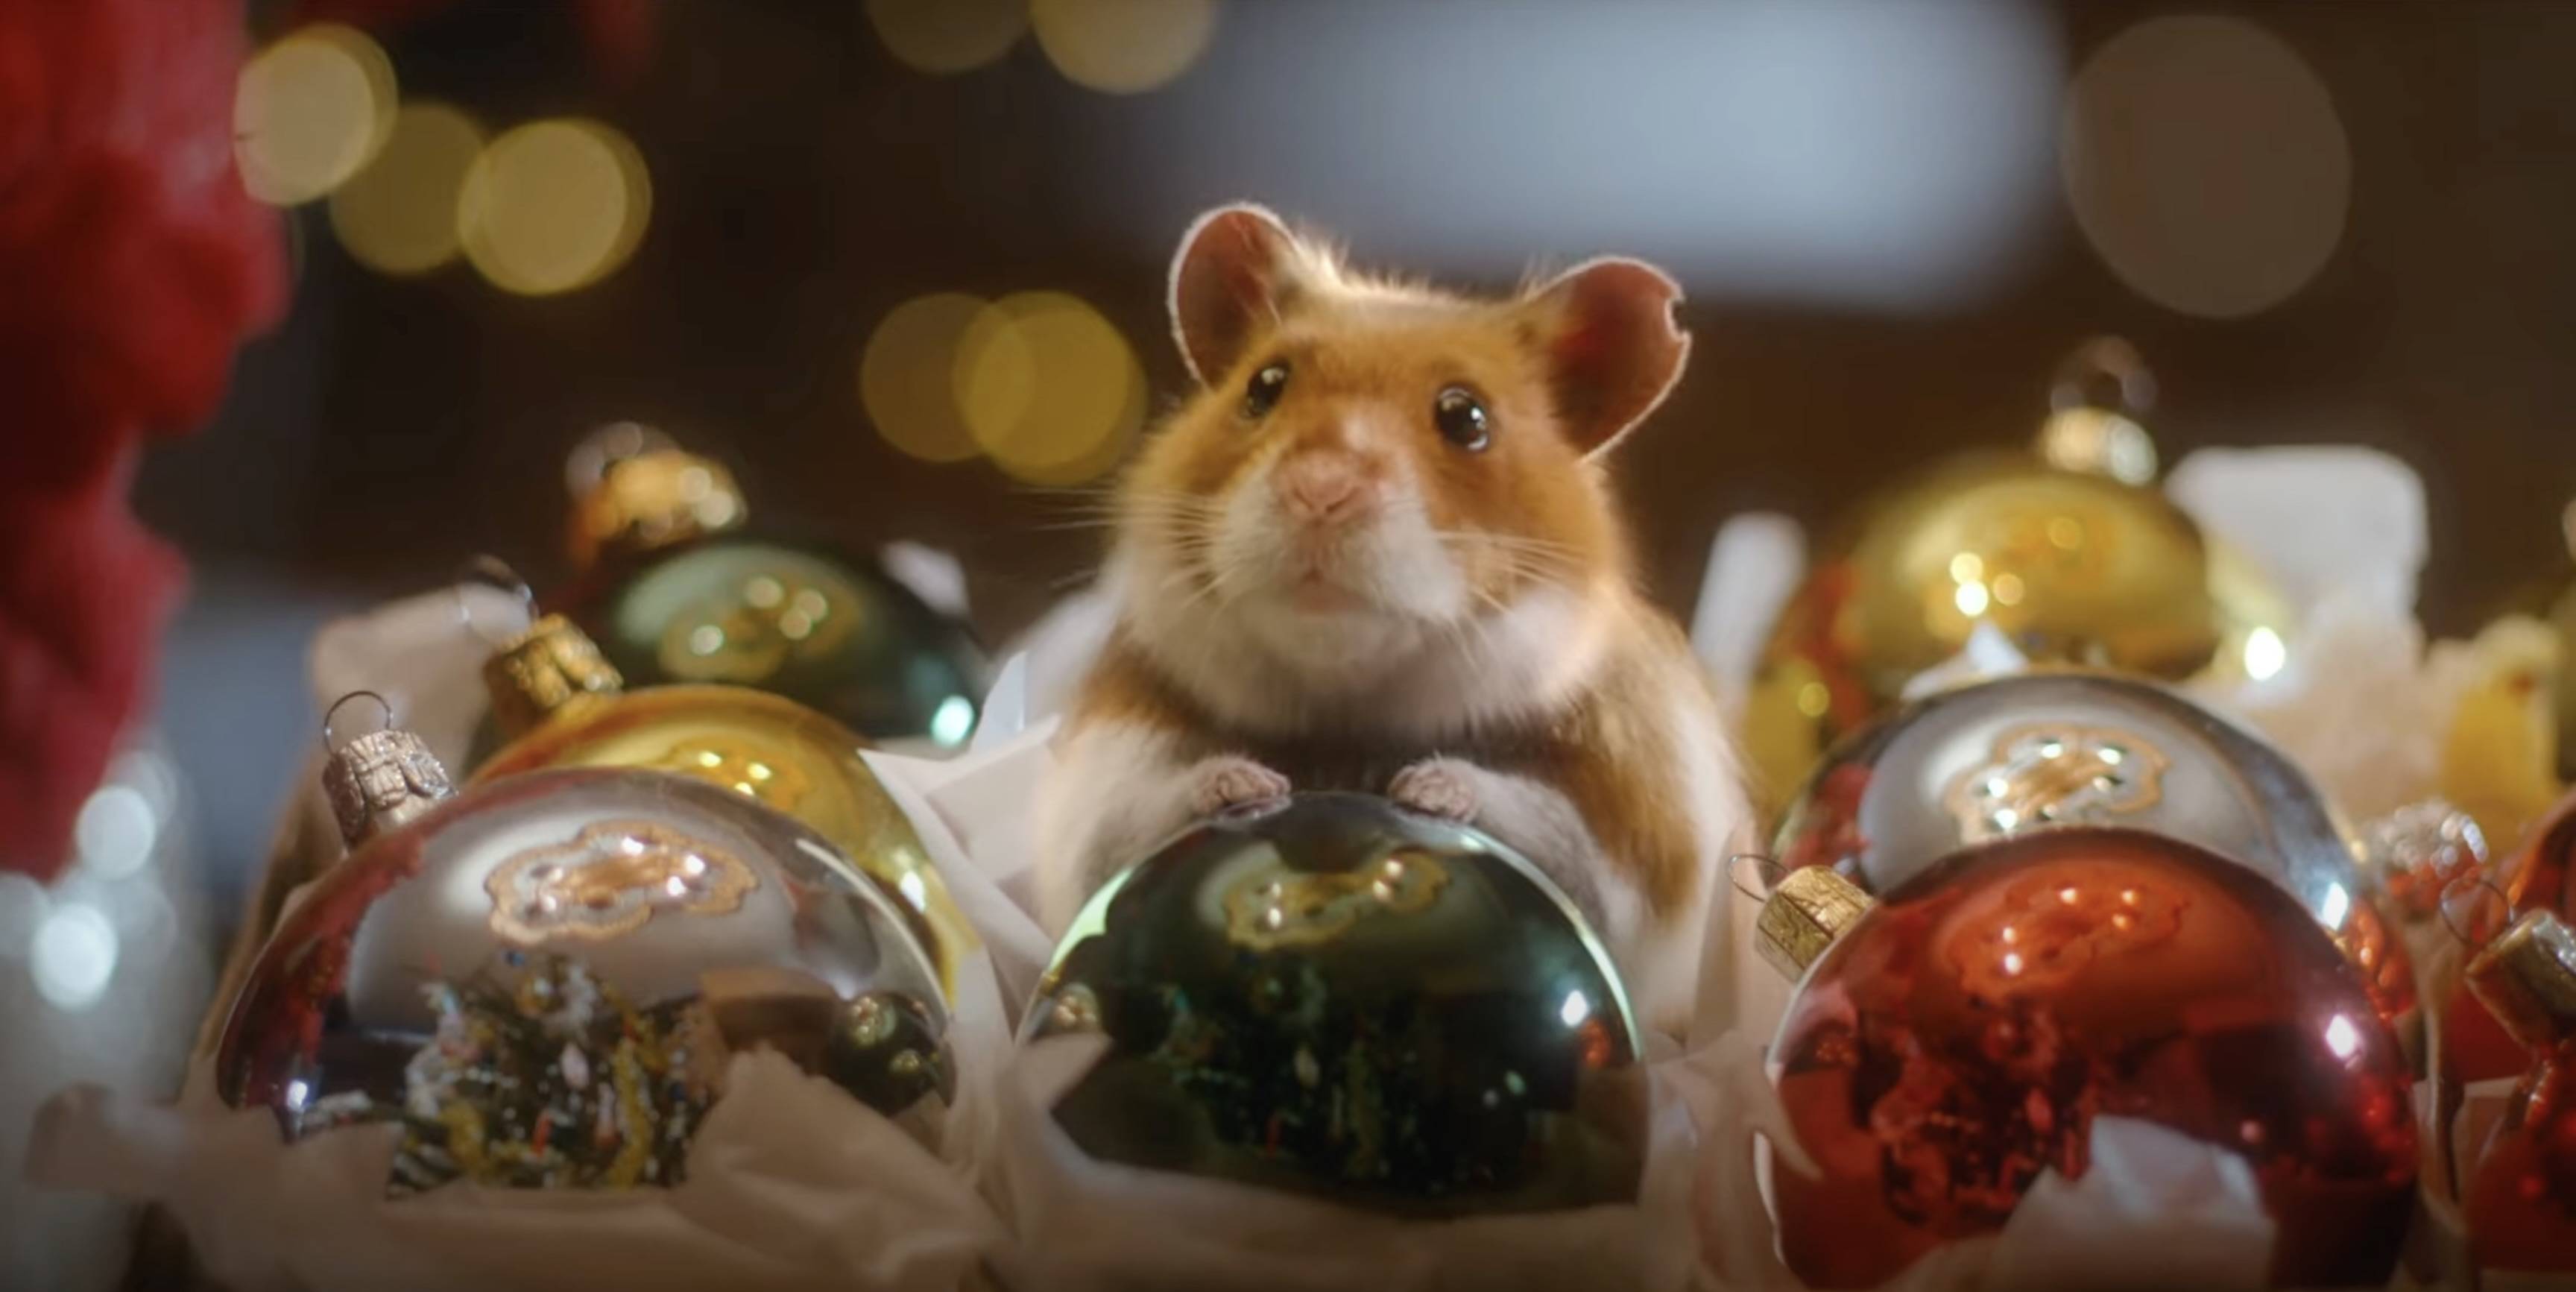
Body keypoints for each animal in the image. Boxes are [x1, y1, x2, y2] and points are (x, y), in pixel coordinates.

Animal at [1034, 204, 1754, 1033]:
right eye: (1264, 385)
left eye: (1466, 417)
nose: (1320, 490)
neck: (1350, 710)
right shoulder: (1106, 778)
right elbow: (1141, 816)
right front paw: (1245, 782)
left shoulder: (1639, 831)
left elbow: (1550, 831)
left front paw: (1426, 789)